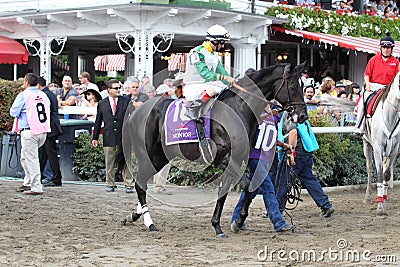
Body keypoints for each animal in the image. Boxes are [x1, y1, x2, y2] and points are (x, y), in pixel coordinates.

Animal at [123, 63, 308, 238]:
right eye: (293, 87)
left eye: (302, 86)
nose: (303, 116)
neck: (237, 109)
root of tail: (136, 112)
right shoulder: (222, 159)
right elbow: (248, 186)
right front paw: (238, 221)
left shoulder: (236, 159)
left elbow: (225, 191)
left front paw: (218, 226)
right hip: (148, 154)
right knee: (140, 185)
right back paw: (150, 223)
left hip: (160, 157)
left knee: (142, 183)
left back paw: (134, 215)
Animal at [362, 71, 400, 214]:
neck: (390, 117)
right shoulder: (377, 148)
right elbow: (378, 173)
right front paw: (380, 205)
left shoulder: (394, 149)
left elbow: (387, 173)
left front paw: (383, 198)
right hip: (366, 144)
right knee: (369, 167)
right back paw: (367, 196)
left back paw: (384, 195)